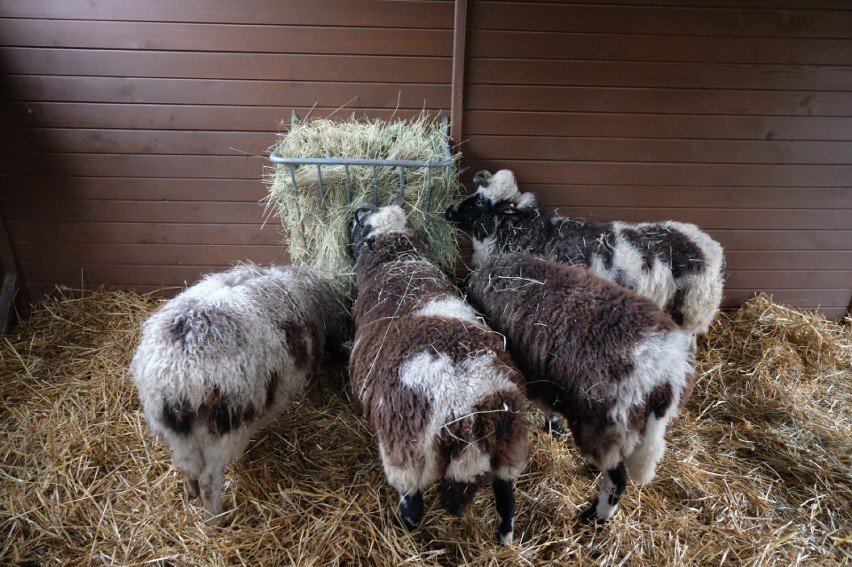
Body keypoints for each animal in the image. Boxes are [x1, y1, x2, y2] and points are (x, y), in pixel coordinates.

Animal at [130, 264, 342, 524]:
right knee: (208, 480)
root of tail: (176, 377)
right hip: (223, 431)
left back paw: (191, 494)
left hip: (177, 435)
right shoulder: (314, 360)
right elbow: (315, 385)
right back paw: (215, 521)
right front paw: (320, 403)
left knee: (186, 467)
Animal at [346, 202, 524, 544]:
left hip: (407, 454)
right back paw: (505, 539)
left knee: (412, 506)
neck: (399, 262)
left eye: (361, 226)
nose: (358, 210)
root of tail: (470, 408)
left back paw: (406, 536)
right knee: (507, 499)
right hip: (506, 449)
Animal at [466, 253, 700, 524]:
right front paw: (554, 428)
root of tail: (666, 377)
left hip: (604, 426)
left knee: (617, 479)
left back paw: (596, 516)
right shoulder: (543, 376)